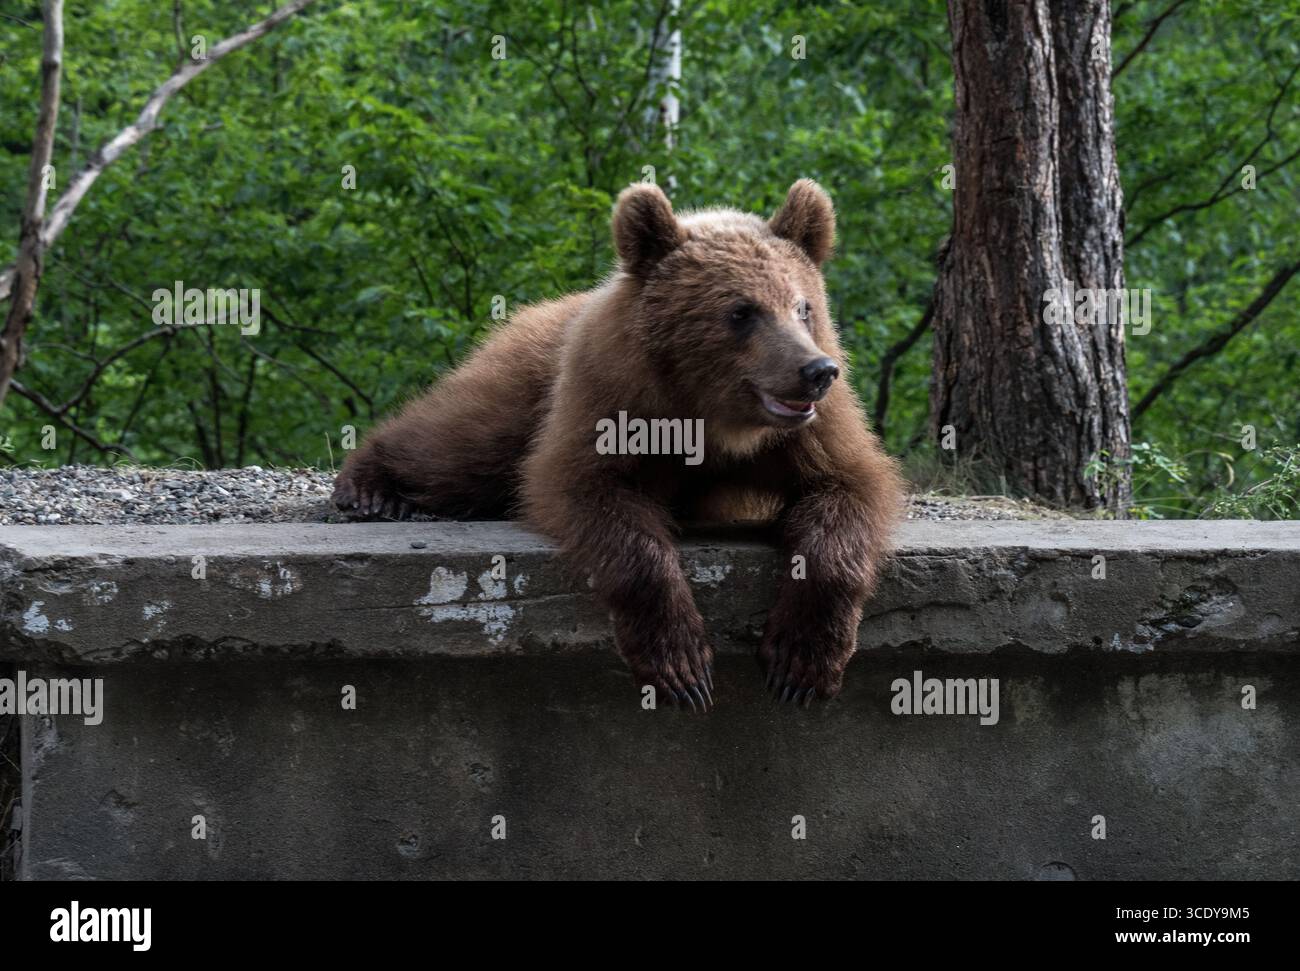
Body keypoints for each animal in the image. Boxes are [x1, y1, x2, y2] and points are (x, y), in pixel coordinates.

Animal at [333, 179, 906, 708]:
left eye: (803, 306)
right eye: (742, 311)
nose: (816, 371)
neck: (712, 419)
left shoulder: (813, 434)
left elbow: (846, 491)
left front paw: (801, 662)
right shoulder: (611, 399)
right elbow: (596, 498)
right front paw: (681, 666)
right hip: (529, 384)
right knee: (461, 448)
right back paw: (369, 489)